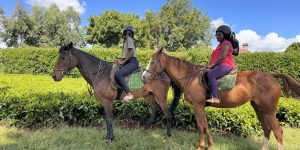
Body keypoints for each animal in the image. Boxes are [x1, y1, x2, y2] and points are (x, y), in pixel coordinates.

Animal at [51, 42, 180, 141]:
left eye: (62, 58)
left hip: (161, 97)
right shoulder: (104, 103)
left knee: (167, 114)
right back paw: (146, 127)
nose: (54, 76)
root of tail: (165, 74)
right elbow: (107, 119)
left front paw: (110, 138)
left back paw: (168, 135)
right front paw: (107, 137)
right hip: (148, 95)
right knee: (155, 109)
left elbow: (109, 119)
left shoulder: (107, 101)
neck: (100, 74)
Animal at [142, 48, 300, 149]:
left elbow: (200, 126)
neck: (191, 77)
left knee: (278, 131)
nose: (144, 77)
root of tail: (271, 76)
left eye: (153, 62)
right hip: (259, 109)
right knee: (267, 129)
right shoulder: (200, 107)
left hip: (268, 110)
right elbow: (205, 125)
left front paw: (200, 146)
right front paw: (210, 145)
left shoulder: (197, 105)